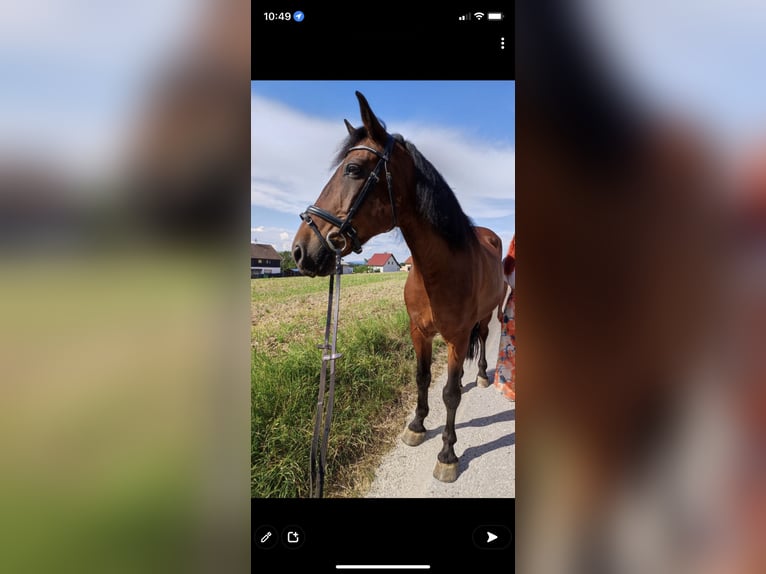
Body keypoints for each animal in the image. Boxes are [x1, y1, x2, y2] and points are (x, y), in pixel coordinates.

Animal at [291, 91, 507, 483]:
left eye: (353, 169)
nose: (301, 251)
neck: (437, 272)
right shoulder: (418, 332)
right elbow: (422, 379)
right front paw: (417, 425)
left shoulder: (455, 339)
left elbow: (449, 393)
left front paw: (448, 454)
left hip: (485, 316)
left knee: (483, 338)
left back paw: (483, 375)